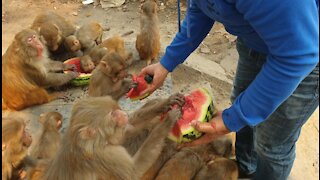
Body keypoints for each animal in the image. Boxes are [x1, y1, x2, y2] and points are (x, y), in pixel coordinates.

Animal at [40, 95, 182, 179]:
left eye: (116, 110)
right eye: (113, 115)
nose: (123, 113)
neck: (94, 142)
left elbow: (128, 129)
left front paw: (165, 103)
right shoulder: (106, 155)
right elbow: (134, 171)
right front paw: (167, 123)